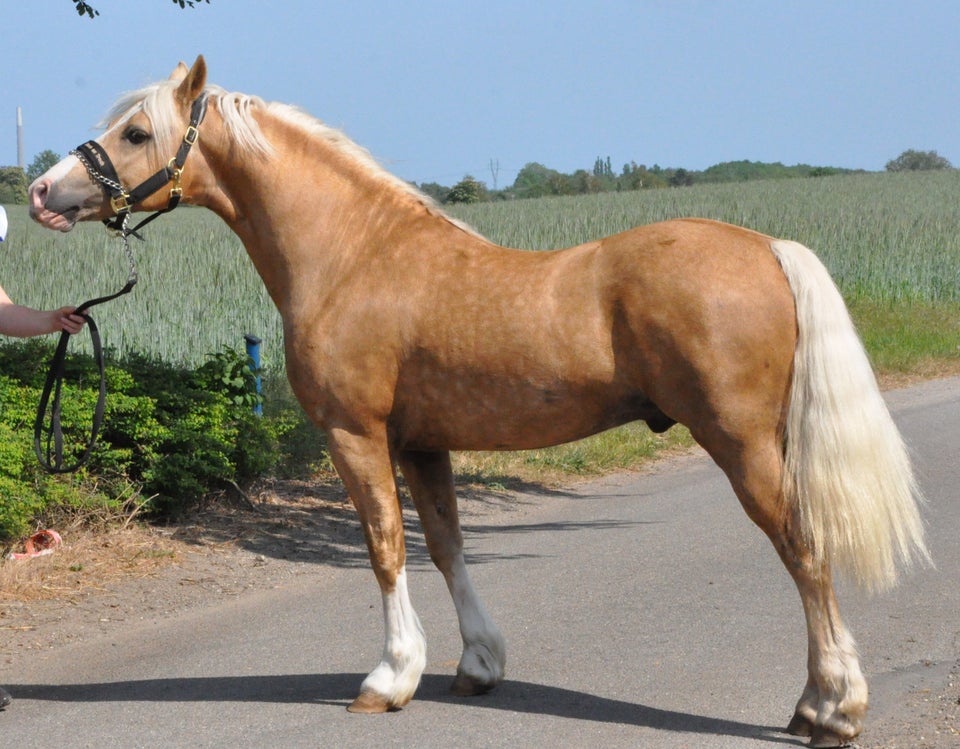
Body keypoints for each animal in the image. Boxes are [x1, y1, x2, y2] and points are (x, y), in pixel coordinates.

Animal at [31, 55, 928, 744]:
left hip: (742, 444)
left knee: (804, 550)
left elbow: (385, 545)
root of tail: (767, 247)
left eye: (137, 132)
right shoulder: (423, 442)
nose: (44, 192)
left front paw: (390, 676)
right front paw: (478, 663)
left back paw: (829, 708)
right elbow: (447, 545)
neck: (355, 254)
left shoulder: (356, 434)